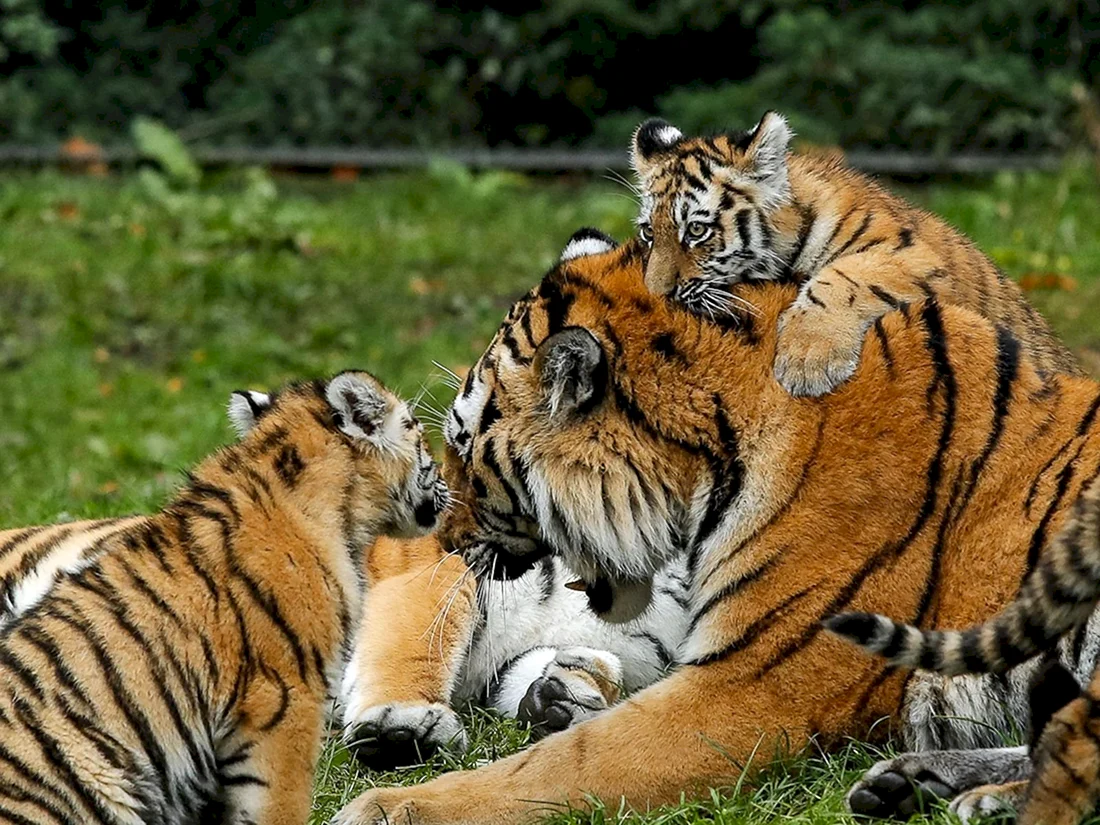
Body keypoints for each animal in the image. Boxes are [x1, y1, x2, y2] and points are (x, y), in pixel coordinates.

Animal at [628, 112, 1080, 397]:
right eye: (650, 232)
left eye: (696, 230)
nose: (657, 293)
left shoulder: (910, 254)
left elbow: (842, 278)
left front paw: (808, 363)